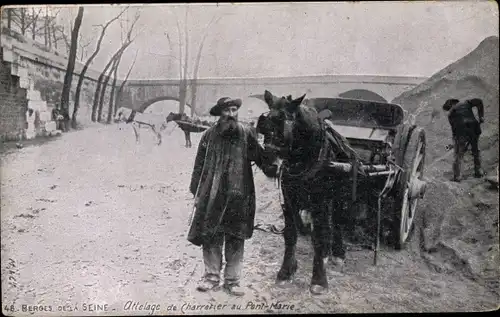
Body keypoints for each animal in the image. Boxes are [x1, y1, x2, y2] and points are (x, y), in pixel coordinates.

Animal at [256, 89, 362, 294]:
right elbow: (290, 234)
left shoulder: (320, 200)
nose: (269, 165)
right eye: (264, 125)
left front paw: (319, 279)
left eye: (283, 122)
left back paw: (337, 253)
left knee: (337, 222)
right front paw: (286, 271)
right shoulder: (288, 198)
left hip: (338, 197)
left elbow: (320, 236)